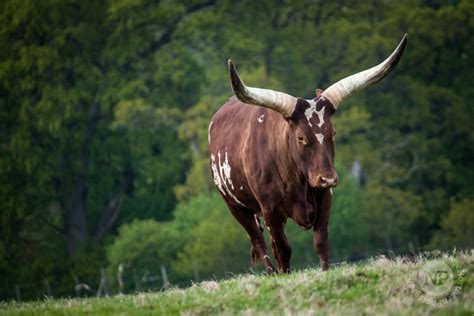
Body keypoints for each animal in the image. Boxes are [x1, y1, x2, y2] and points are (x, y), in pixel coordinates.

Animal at [207, 34, 408, 272]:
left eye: (333, 133)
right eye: (301, 138)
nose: (327, 178)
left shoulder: (325, 198)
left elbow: (321, 241)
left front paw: (326, 272)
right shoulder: (270, 210)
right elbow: (283, 249)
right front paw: (285, 274)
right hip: (234, 205)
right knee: (258, 240)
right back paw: (272, 272)